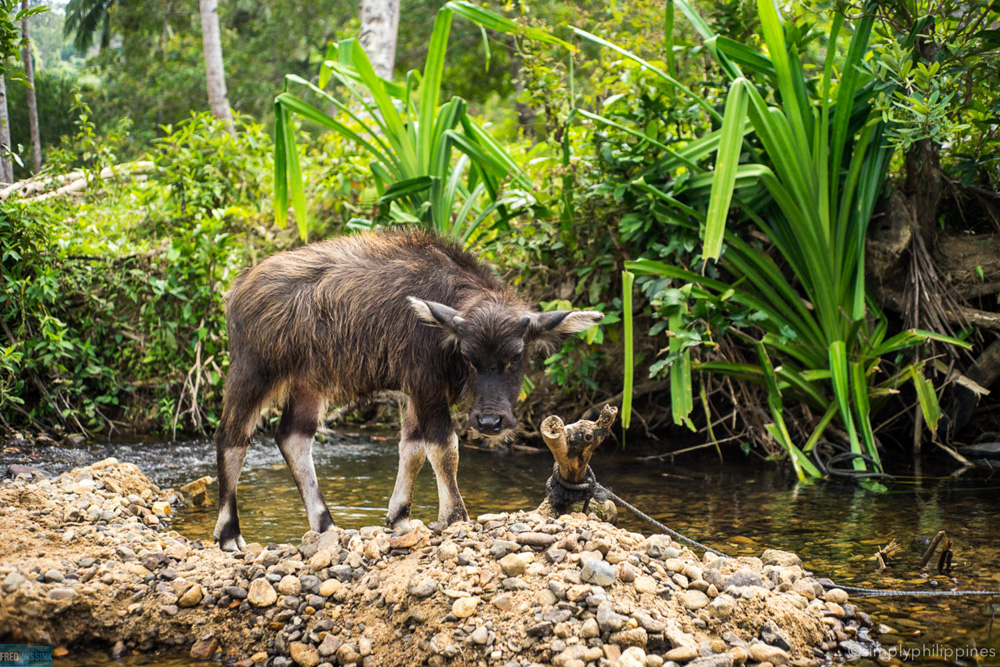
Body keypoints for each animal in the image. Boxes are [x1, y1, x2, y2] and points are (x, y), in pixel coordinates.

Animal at [213, 227, 600, 552]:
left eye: (516, 355)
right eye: (468, 355)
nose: (490, 422)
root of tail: (239, 288)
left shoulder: (415, 390)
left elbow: (412, 448)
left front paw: (399, 516)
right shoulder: (426, 384)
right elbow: (444, 447)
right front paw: (455, 516)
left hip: (309, 382)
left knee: (293, 437)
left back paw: (325, 524)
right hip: (252, 371)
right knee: (232, 438)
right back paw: (229, 533)